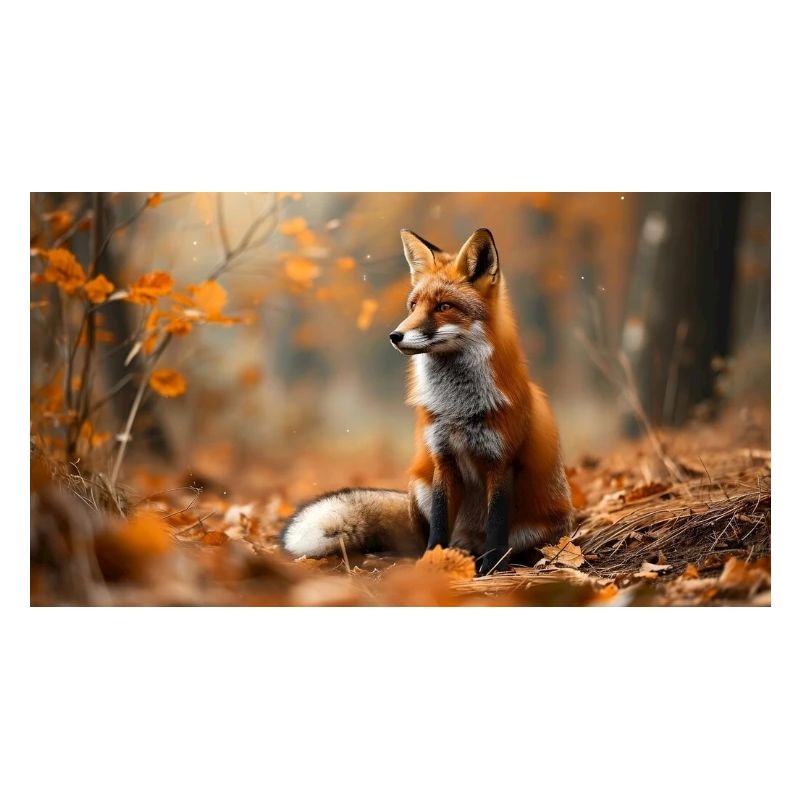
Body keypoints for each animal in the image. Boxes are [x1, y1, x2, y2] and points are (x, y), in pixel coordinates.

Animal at [281, 227, 574, 575]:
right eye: (413, 306)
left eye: (444, 306)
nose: (395, 336)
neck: (458, 409)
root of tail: (469, 540)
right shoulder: (441, 459)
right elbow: (438, 526)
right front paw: (432, 564)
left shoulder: (500, 462)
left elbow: (496, 528)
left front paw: (491, 570)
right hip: (418, 484)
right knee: (422, 539)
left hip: (535, 529)